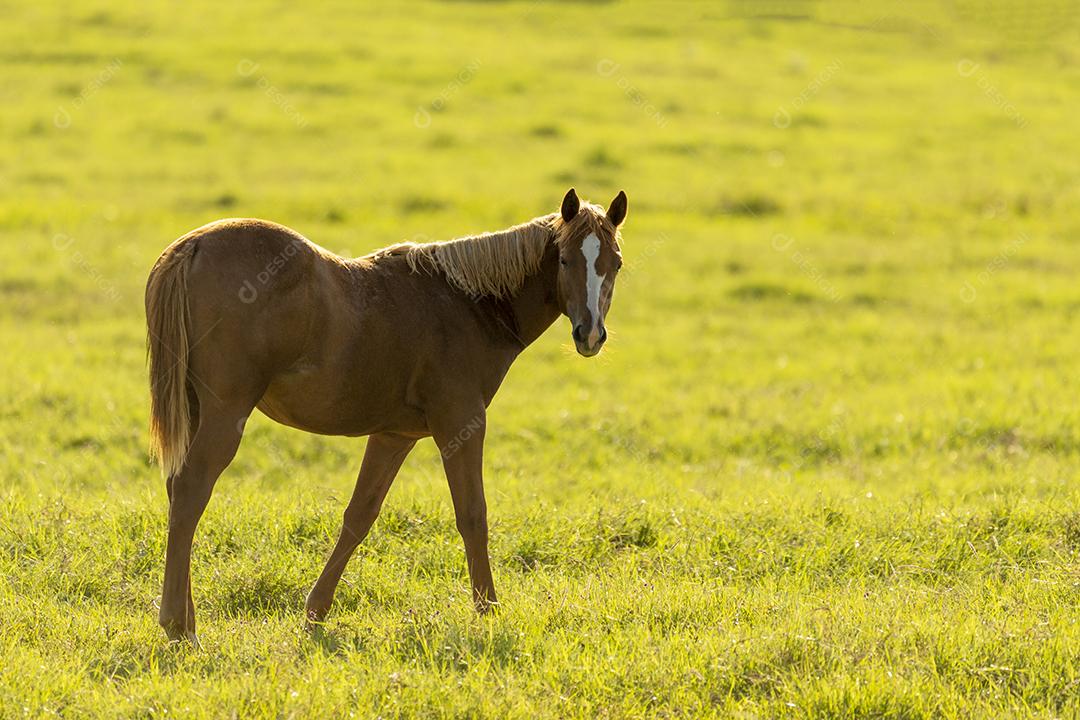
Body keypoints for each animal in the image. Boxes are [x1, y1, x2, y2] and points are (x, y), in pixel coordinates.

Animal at [145, 188, 627, 642]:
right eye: (564, 259)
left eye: (616, 264)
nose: (590, 334)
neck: (469, 304)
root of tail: (193, 246)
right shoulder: (461, 423)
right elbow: (473, 515)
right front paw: (488, 610)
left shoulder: (394, 436)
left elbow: (359, 515)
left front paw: (316, 612)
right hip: (227, 412)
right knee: (190, 490)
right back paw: (178, 626)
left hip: (195, 410)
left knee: (177, 493)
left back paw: (187, 619)